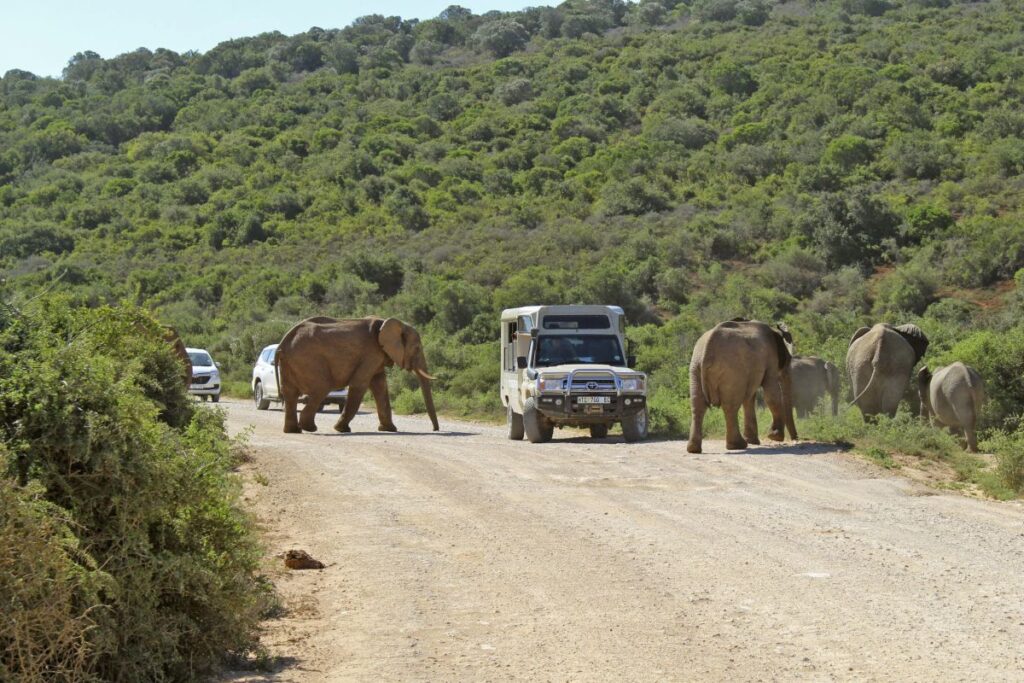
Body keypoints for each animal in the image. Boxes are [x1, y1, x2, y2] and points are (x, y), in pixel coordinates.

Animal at [275, 316, 439, 434]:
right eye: (417, 348)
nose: (435, 429)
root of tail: (282, 344)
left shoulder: (377, 356)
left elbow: (380, 386)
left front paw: (389, 429)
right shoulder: (371, 353)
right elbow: (360, 384)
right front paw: (341, 429)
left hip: (291, 363)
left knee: (290, 393)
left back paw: (293, 431)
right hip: (308, 360)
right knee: (321, 388)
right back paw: (310, 428)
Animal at [687, 319, 799, 454]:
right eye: (787, 361)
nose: (796, 439)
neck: (774, 330)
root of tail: (707, 348)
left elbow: (750, 398)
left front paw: (755, 441)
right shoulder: (770, 358)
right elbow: (771, 393)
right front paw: (775, 437)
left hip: (695, 367)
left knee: (697, 405)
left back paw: (693, 449)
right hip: (731, 370)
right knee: (730, 406)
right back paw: (738, 445)